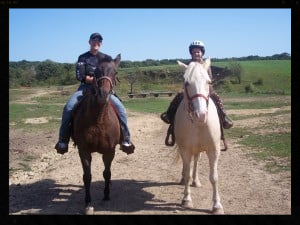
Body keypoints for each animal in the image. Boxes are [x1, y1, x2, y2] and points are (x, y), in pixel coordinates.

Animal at [71, 53, 121, 214]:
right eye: (95, 72)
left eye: (115, 72)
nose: (103, 94)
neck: (98, 120)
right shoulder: (84, 151)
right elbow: (87, 176)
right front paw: (88, 202)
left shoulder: (110, 151)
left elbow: (107, 173)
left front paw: (106, 196)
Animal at [173, 58, 223, 214]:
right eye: (186, 83)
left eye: (208, 82)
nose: (200, 115)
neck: (198, 125)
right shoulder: (185, 150)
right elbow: (187, 174)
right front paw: (186, 199)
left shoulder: (213, 150)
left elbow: (214, 177)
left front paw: (217, 205)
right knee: (187, 167)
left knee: (195, 162)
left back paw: (196, 181)